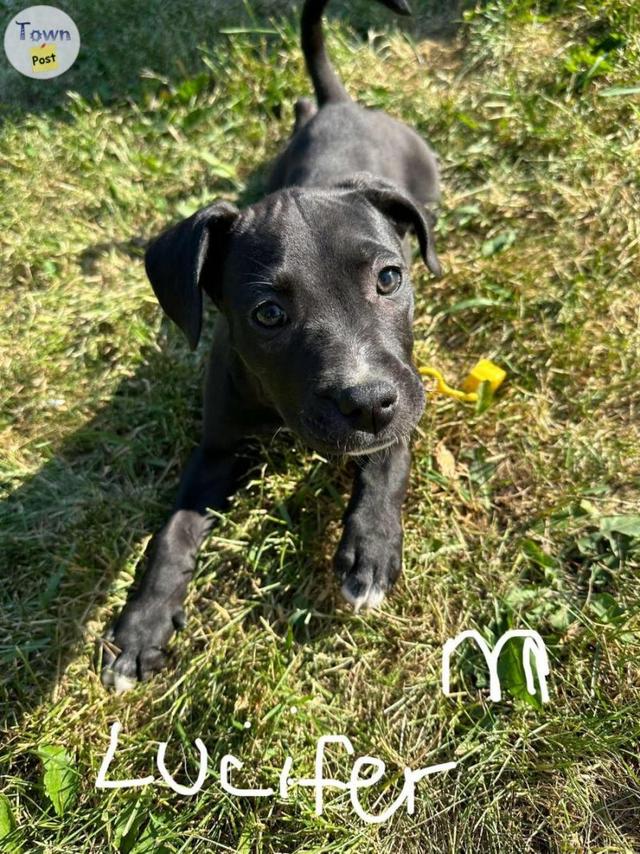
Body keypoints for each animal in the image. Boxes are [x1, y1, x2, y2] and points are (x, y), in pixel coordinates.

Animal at [102, 0, 440, 696]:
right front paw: (141, 626)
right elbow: (171, 533)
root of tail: (343, 104)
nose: (366, 403)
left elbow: (388, 459)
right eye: (268, 314)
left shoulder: (407, 386)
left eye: (389, 279)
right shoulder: (216, 448)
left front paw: (370, 548)